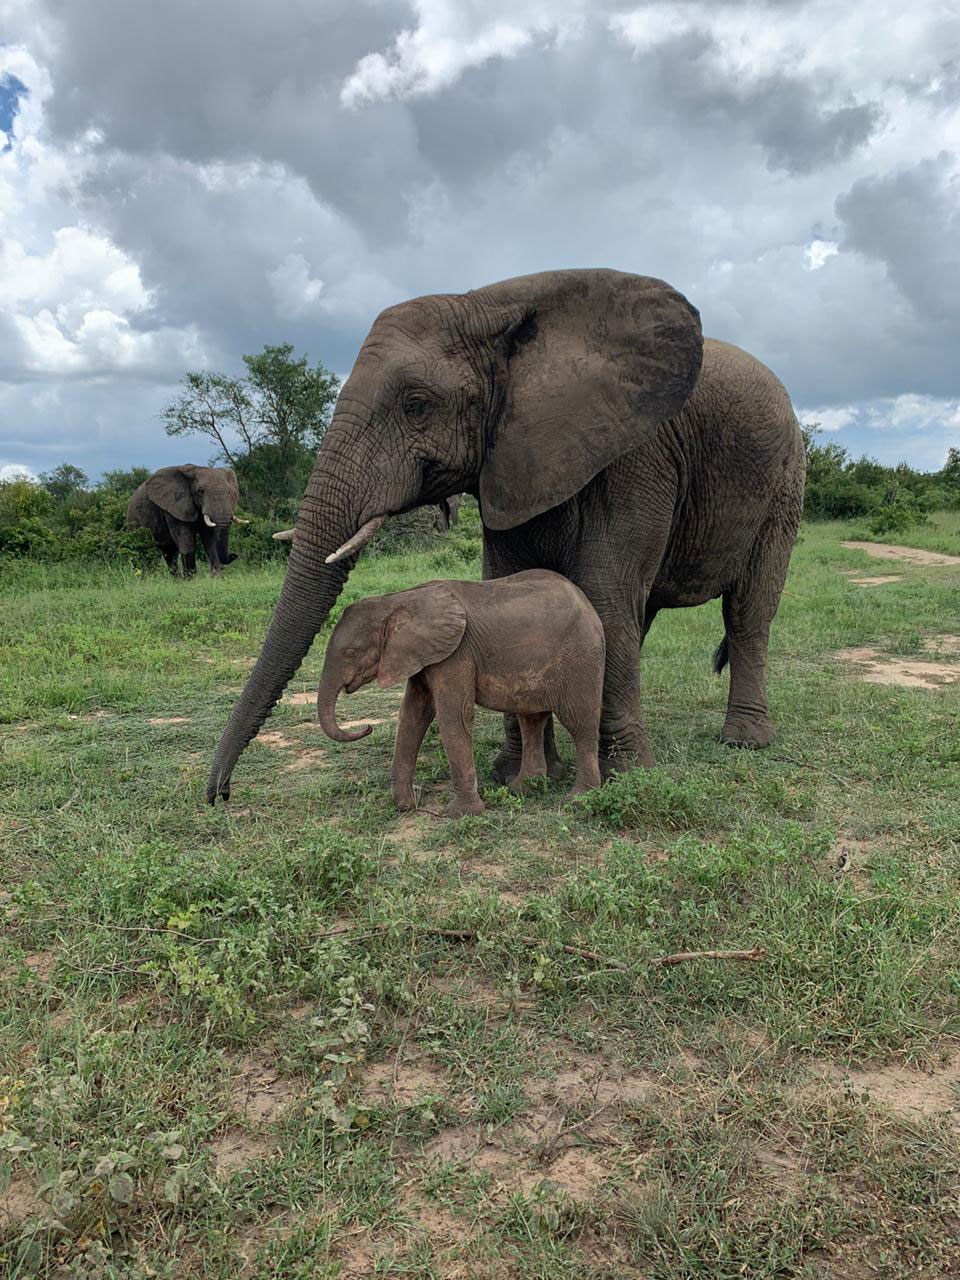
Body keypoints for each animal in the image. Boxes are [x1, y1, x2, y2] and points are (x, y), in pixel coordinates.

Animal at [320, 573, 604, 819]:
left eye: (350, 652)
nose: (367, 728)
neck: (397, 601)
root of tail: (588, 606)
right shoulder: (423, 656)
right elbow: (412, 715)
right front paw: (405, 805)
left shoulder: (456, 654)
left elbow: (453, 718)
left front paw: (461, 813)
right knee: (531, 720)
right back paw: (521, 789)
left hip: (581, 656)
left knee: (579, 723)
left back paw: (578, 799)